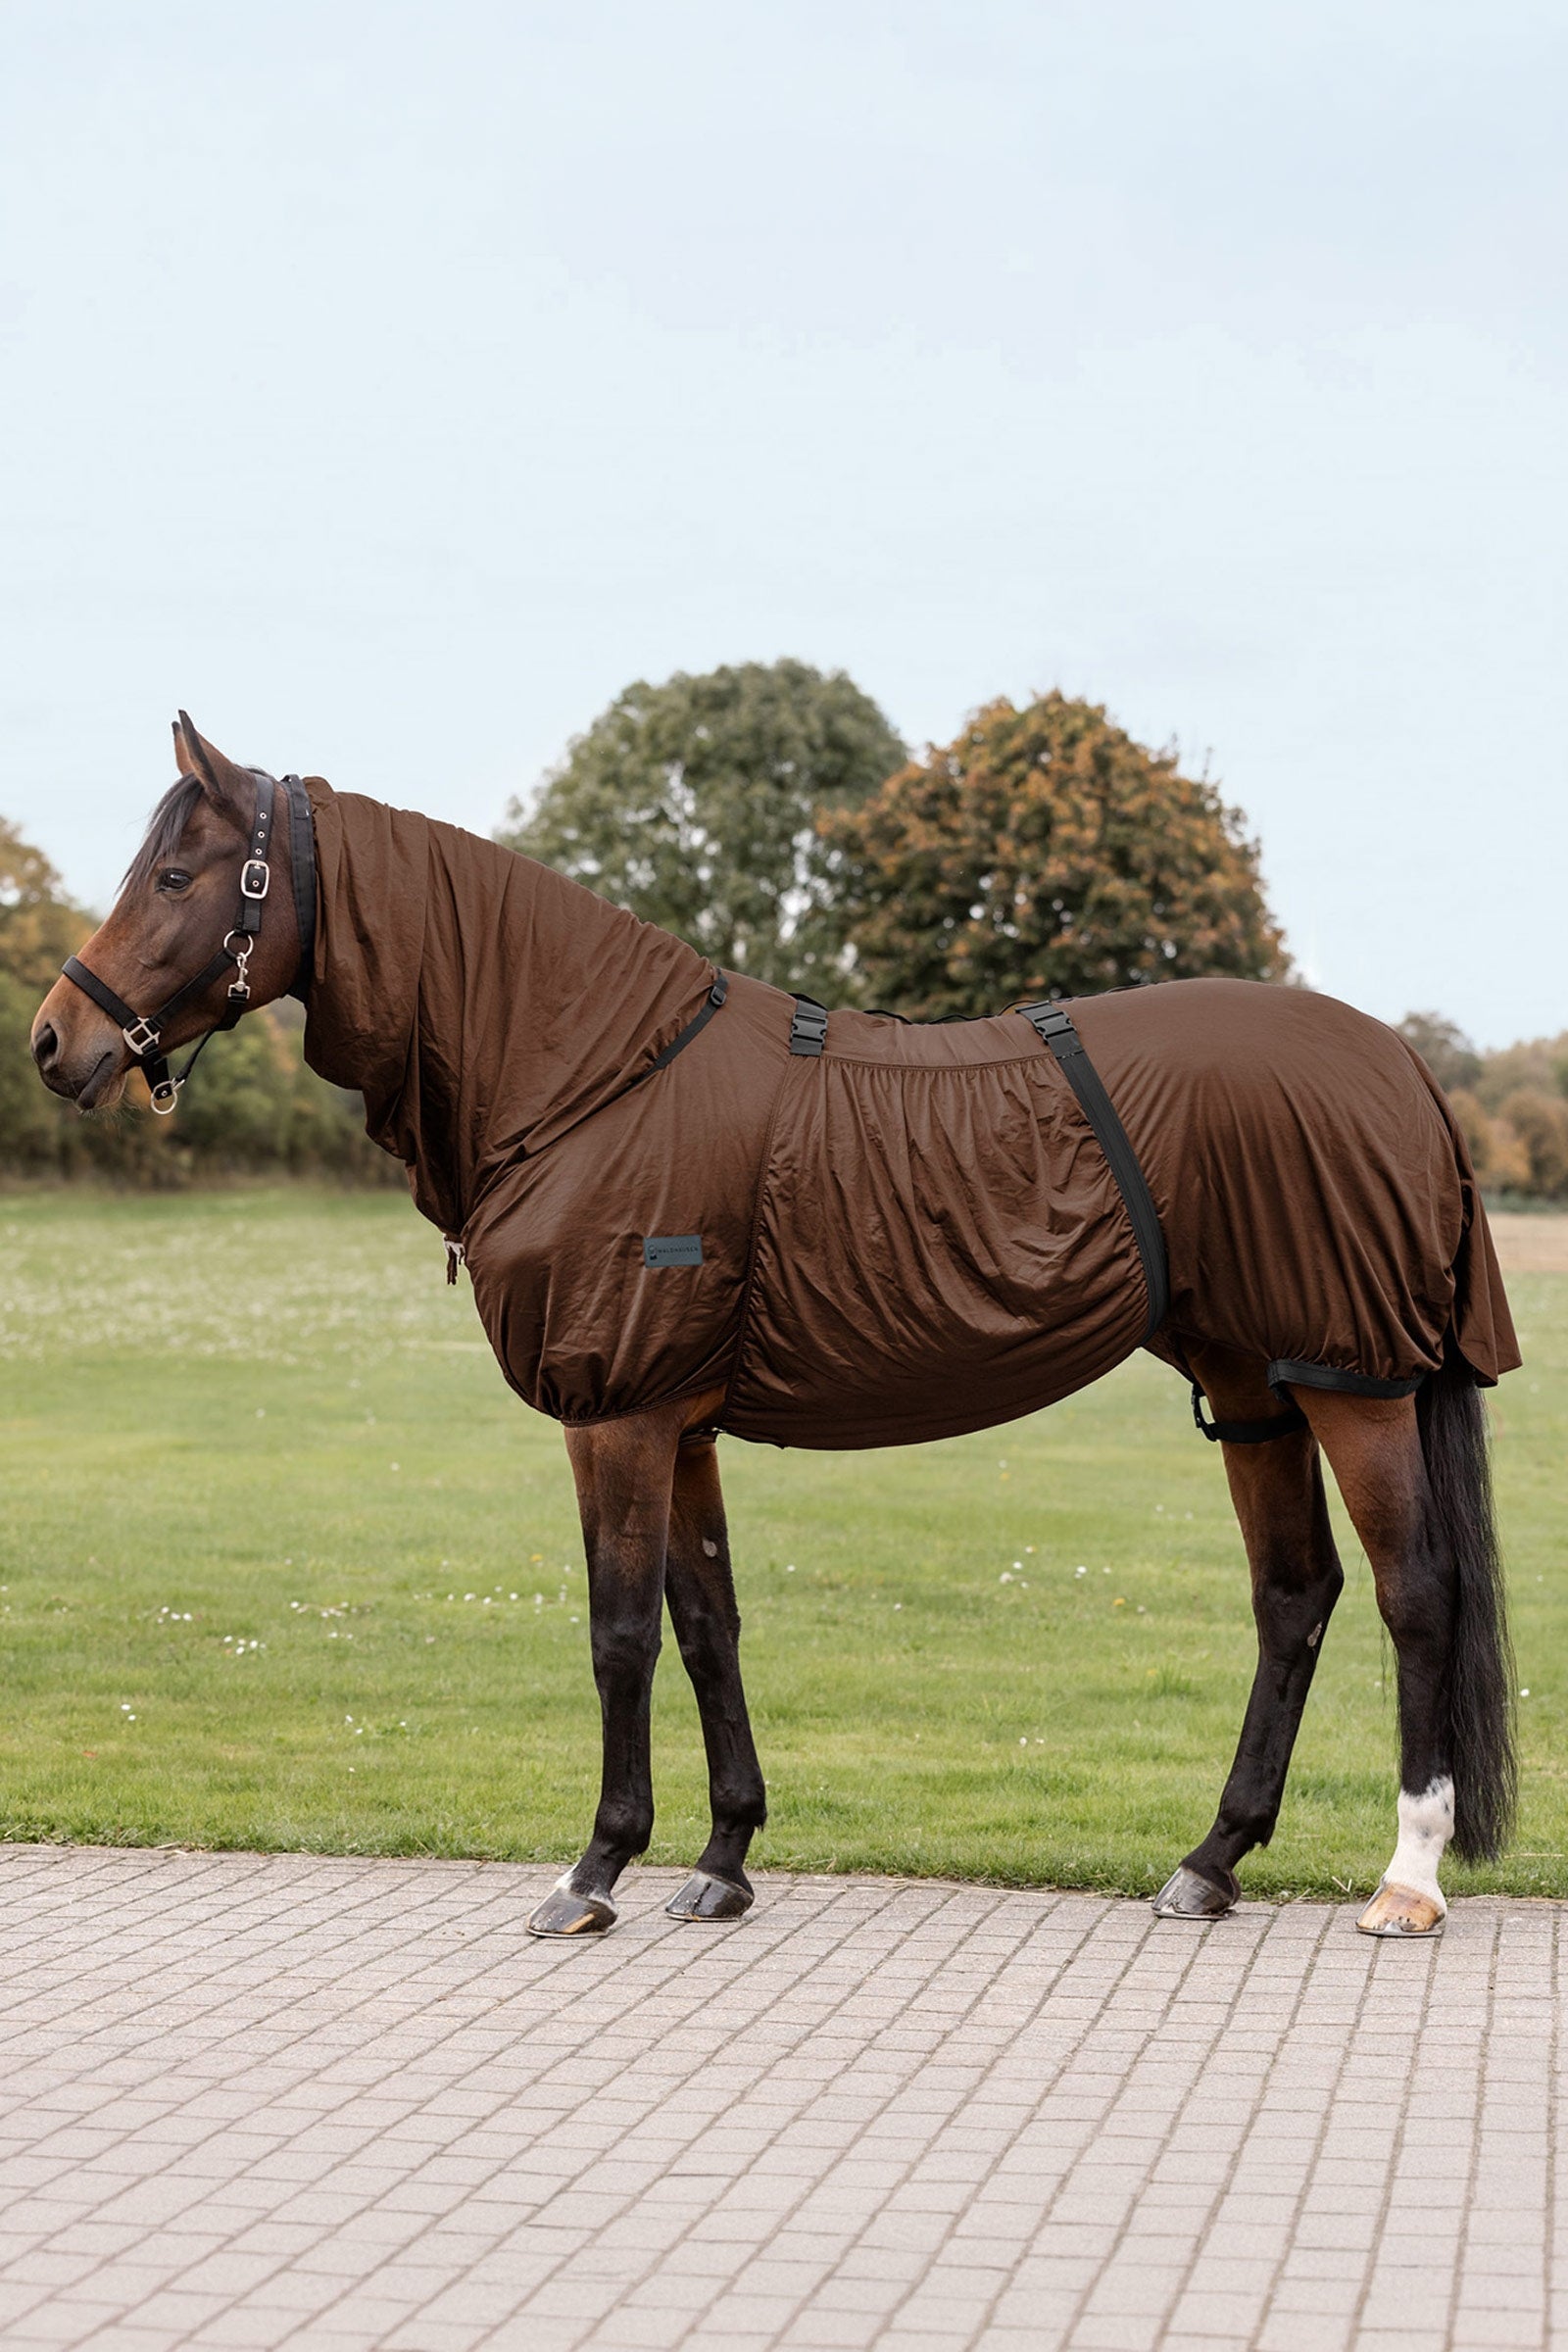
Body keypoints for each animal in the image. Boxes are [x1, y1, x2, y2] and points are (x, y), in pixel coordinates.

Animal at [30, 717, 1519, 1942]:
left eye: (178, 878)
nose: (54, 1044)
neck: (593, 1076)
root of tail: (1400, 1062)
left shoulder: (617, 1414)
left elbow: (619, 1632)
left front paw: (594, 1870)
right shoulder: (678, 1422)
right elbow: (707, 1624)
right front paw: (723, 1860)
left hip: (1354, 1384)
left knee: (1414, 1594)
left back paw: (1406, 1880)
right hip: (1253, 1388)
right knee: (1295, 1596)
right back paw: (1210, 1862)